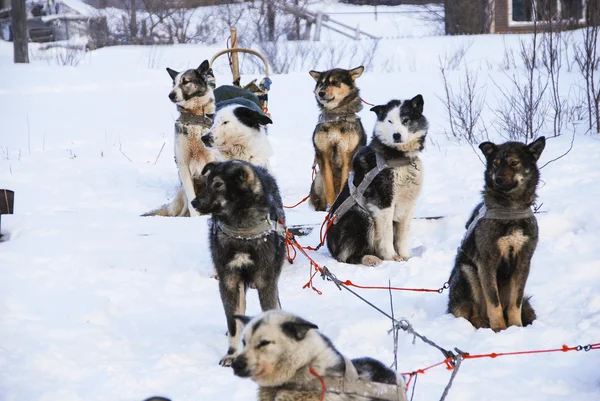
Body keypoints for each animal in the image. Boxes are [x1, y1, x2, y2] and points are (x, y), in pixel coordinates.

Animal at [192, 160, 286, 366]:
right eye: (207, 182)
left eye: (218, 184)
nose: (194, 202)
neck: (242, 233)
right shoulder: (229, 282)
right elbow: (233, 323)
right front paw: (232, 354)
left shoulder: (266, 282)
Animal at [308, 66, 368, 209]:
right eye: (321, 83)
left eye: (334, 82)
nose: (321, 93)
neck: (336, 116)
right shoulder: (323, 153)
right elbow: (329, 186)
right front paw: (331, 207)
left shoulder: (349, 154)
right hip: (318, 178)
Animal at [326, 96, 428, 266]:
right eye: (389, 121)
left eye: (405, 120)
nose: (396, 135)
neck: (397, 157)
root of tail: (331, 247)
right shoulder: (383, 203)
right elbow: (386, 235)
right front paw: (392, 257)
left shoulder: (408, 205)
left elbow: (402, 236)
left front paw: (405, 256)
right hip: (360, 216)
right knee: (346, 257)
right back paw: (370, 258)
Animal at [448, 136, 548, 330]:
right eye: (495, 163)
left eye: (514, 163)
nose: (498, 179)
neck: (510, 211)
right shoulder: (487, 262)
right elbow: (493, 302)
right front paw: (500, 328)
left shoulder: (523, 261)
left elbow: (515, 302)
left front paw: (515, 327)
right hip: (468, 272)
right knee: (471, 313)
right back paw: (482, 323)